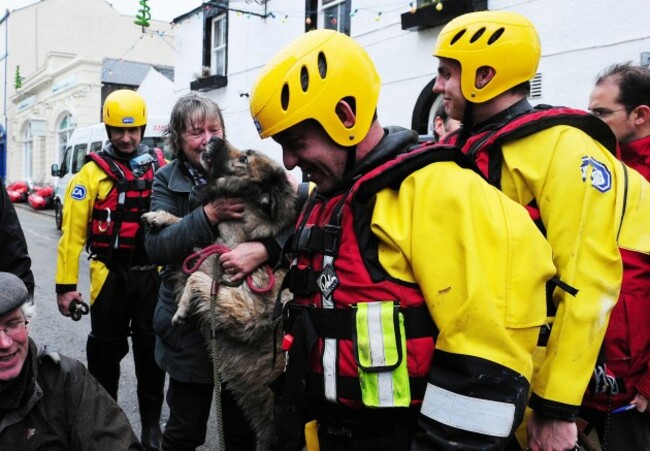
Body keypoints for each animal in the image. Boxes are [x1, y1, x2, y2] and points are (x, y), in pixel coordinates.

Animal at [143, 136, 298, 450]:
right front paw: (161, 217)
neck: (243, 231)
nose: (213, 138)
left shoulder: (244, 308)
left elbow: (197, 279)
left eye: (245, 159)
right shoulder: (209, 253)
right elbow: (191, 237)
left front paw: (182, 311)